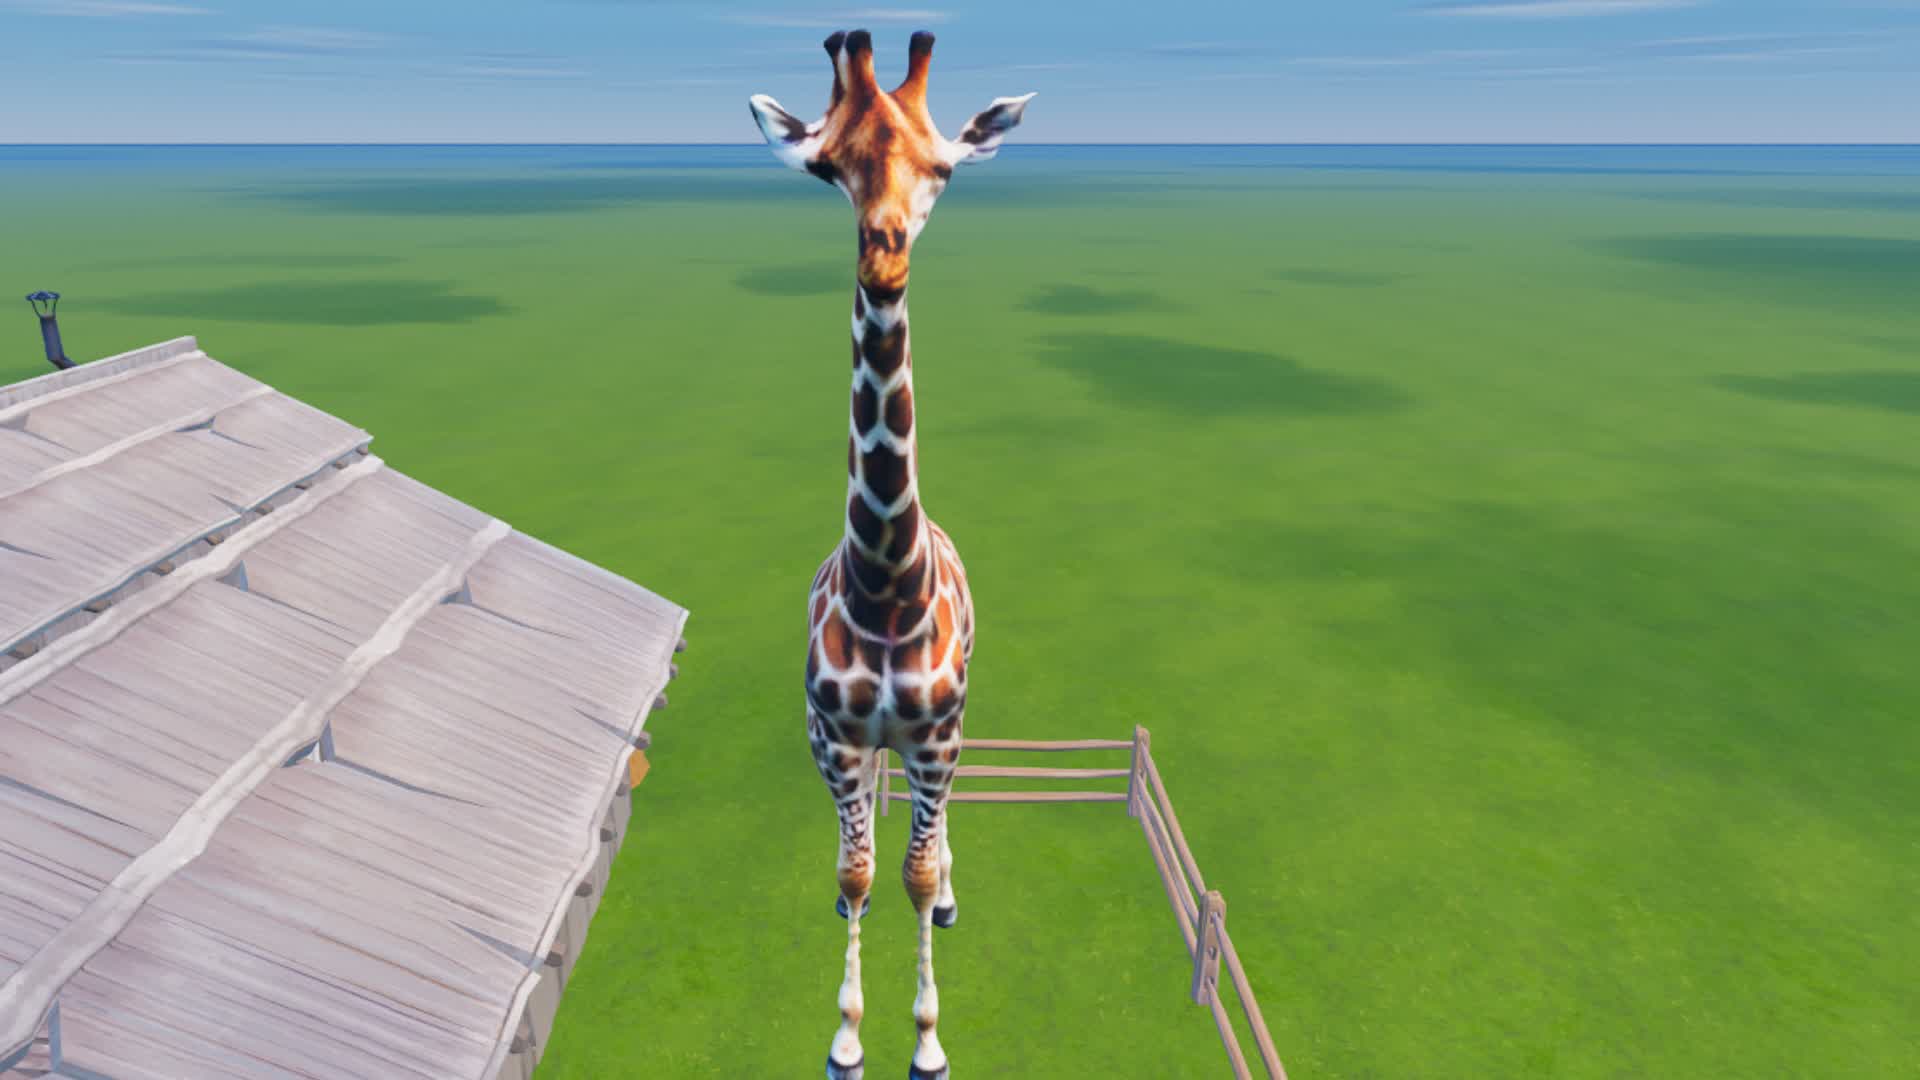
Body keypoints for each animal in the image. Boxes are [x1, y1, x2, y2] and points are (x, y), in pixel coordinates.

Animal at [749, 28, 1034, 1080]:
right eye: (827, 167)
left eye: (943, 169)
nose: (884, 258)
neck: (886, 588)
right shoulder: (828, 734)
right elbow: (856, 866)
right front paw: (845, 1038)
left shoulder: (940, 734)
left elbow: (909, 872)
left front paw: (926, 1044)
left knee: (929, 830)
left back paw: (949, 889)